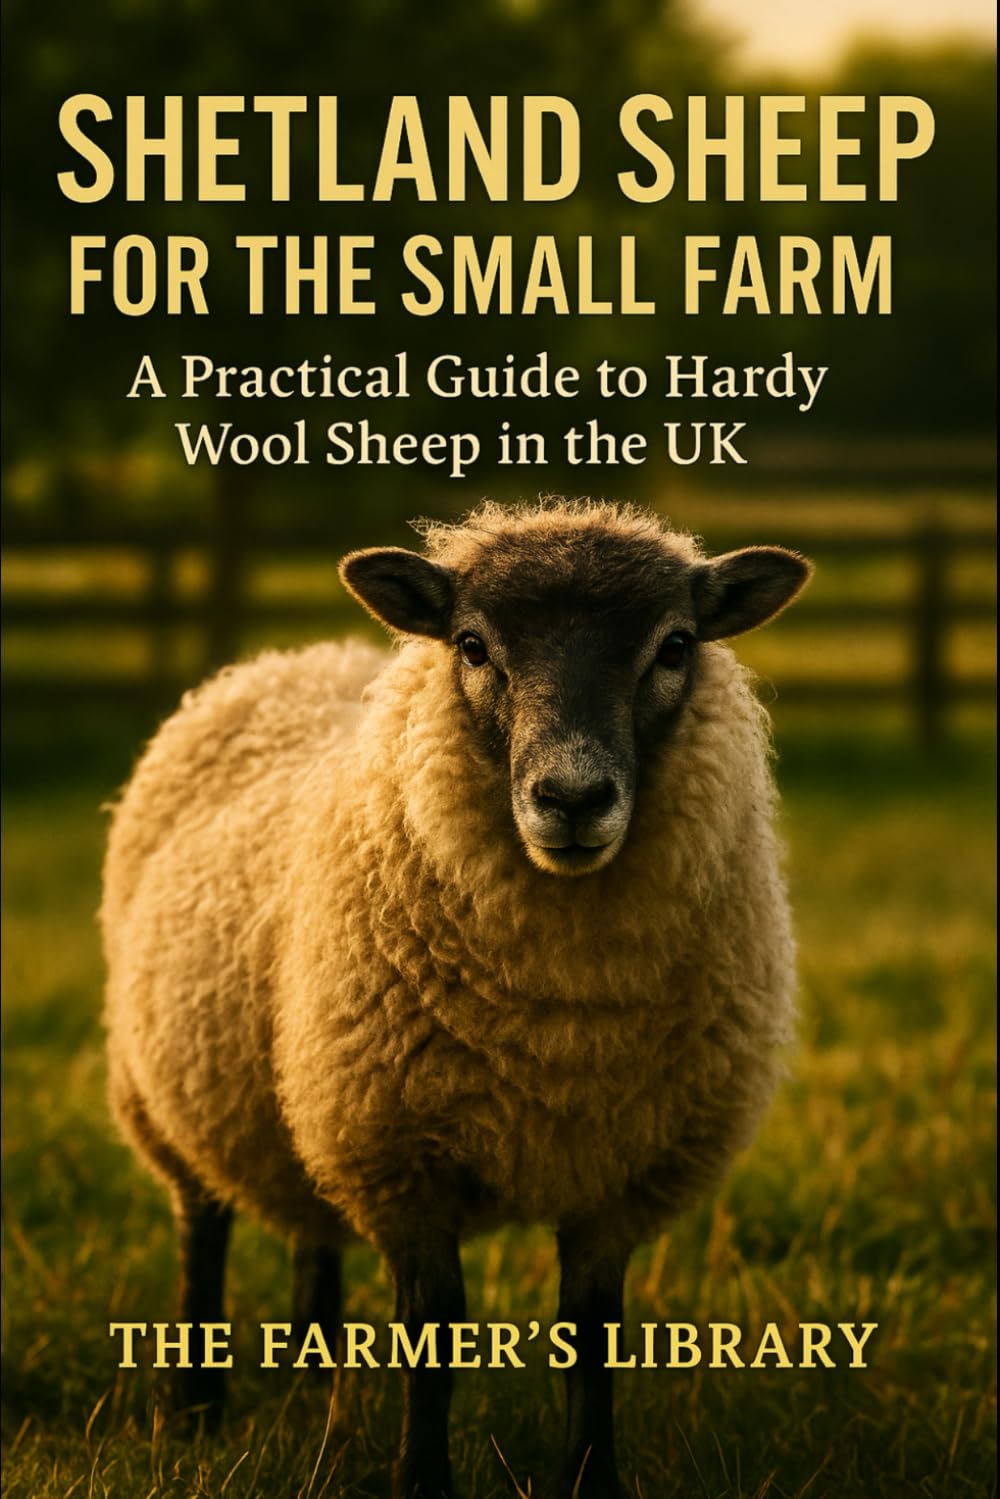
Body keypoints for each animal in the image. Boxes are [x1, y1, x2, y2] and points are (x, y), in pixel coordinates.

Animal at [102, 499, 812, 1499]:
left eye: (675, 645)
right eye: (473, 645)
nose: (572, 797)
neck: (563, 1015)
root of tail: (290, 658)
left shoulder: (618, 1171)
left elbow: (592, 1333)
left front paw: (590, 1477)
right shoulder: (401, 1154)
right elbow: (431, 1335)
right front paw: (421, 1478)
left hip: (309, 1092)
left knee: (311, 1226)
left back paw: (319, 1376)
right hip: (171, 1094)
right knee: (200, 1226)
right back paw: (195, 1406)